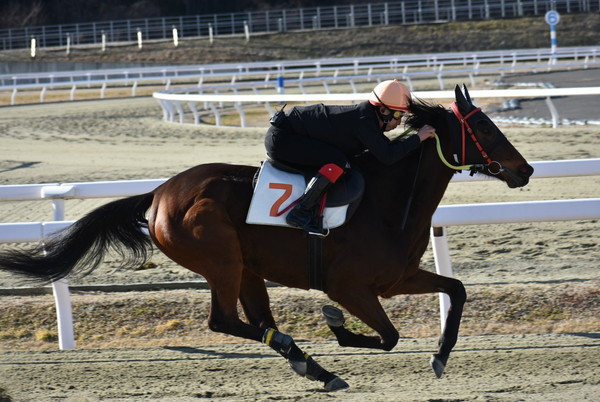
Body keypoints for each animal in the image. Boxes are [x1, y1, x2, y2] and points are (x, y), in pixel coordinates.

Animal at [0, 85, 533, 391]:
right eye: (485, 127)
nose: (525, 170)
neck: (388, 202)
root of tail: (159, 194)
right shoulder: (349, 286)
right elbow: (388, 335)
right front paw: (336, 326)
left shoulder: (395, 278)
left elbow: (455, 291)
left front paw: (440, 356)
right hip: (221, 261)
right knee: (223, 321)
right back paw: (314, 364)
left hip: (247, 269)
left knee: (256, 321)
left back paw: (313, 367)